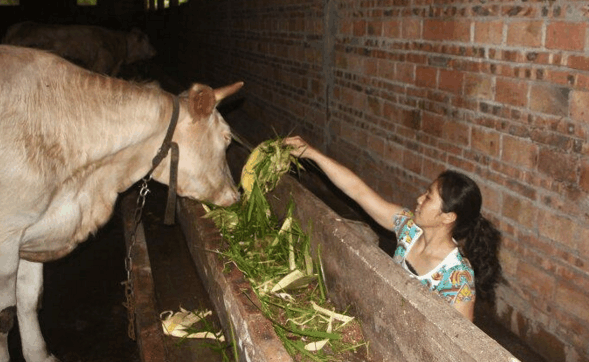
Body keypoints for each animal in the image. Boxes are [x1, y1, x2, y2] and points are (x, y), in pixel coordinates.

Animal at [0, 45, 241, 362]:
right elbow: (5, 317)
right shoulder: (8, 234)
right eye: (226, 138)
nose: (236, 195)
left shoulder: (34, 230)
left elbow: (28, 297)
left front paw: (40, 354)